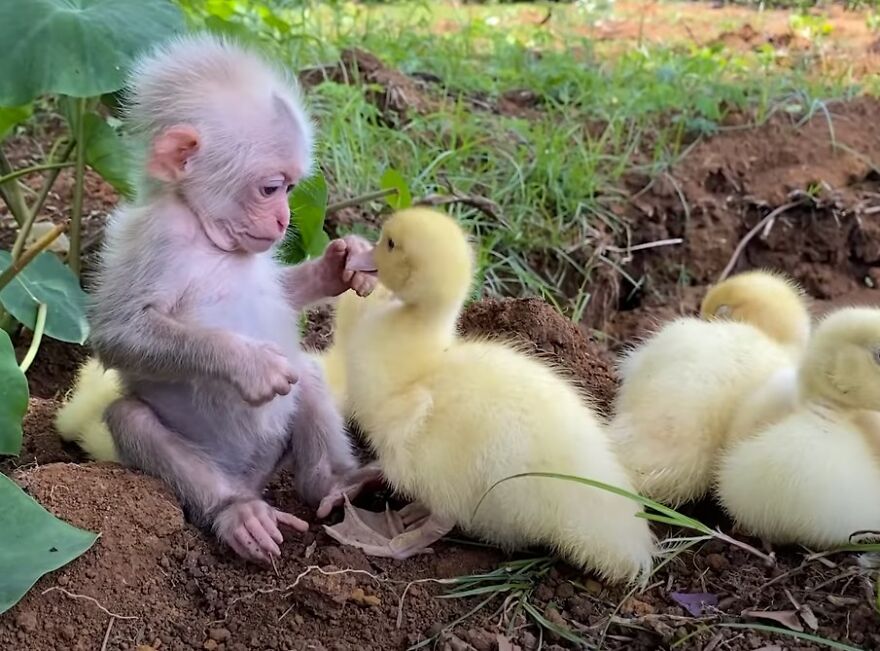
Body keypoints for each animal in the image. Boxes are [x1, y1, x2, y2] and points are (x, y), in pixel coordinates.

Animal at [86, 33, 381, 564]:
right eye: (270, 188)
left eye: (292, 189)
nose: (285, 220)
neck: (205, 232)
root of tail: (252, 477)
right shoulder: (155, 238)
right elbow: (117, 334)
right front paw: (247, 363)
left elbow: (284, 294)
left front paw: (339, 266)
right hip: (209, 463)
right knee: (131, 418)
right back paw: (236, 513)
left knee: (306, 374)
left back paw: (335, 483)